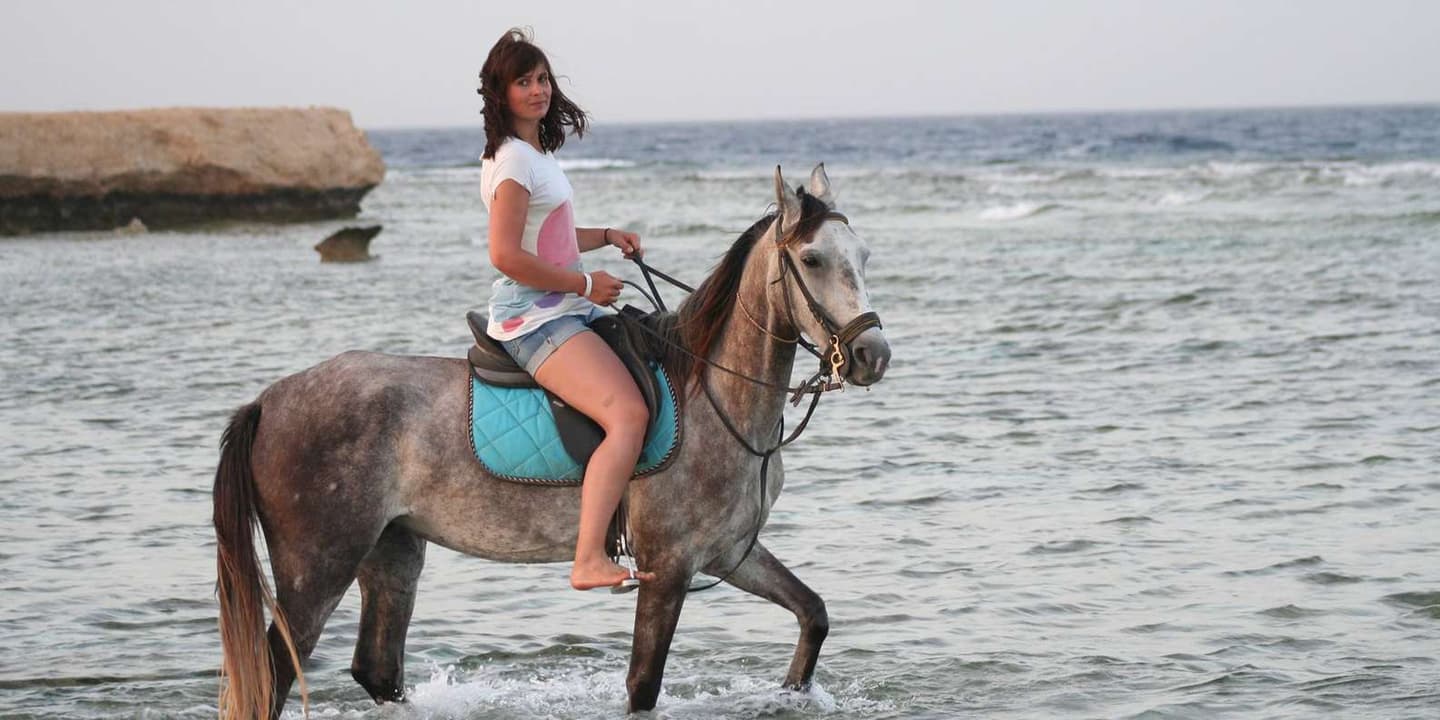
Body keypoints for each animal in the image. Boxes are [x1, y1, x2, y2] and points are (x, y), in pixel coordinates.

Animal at [213, 164, 892, 718]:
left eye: (863, 254)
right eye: (812, 260)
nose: (872, 355)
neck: (714, 396)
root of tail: (268, 401)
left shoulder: (728, 553)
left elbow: (812, 614)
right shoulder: (668, 567)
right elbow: (643, 686)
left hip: (392, 552)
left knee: (376, 669)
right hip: (317, 566)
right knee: (278, 673)